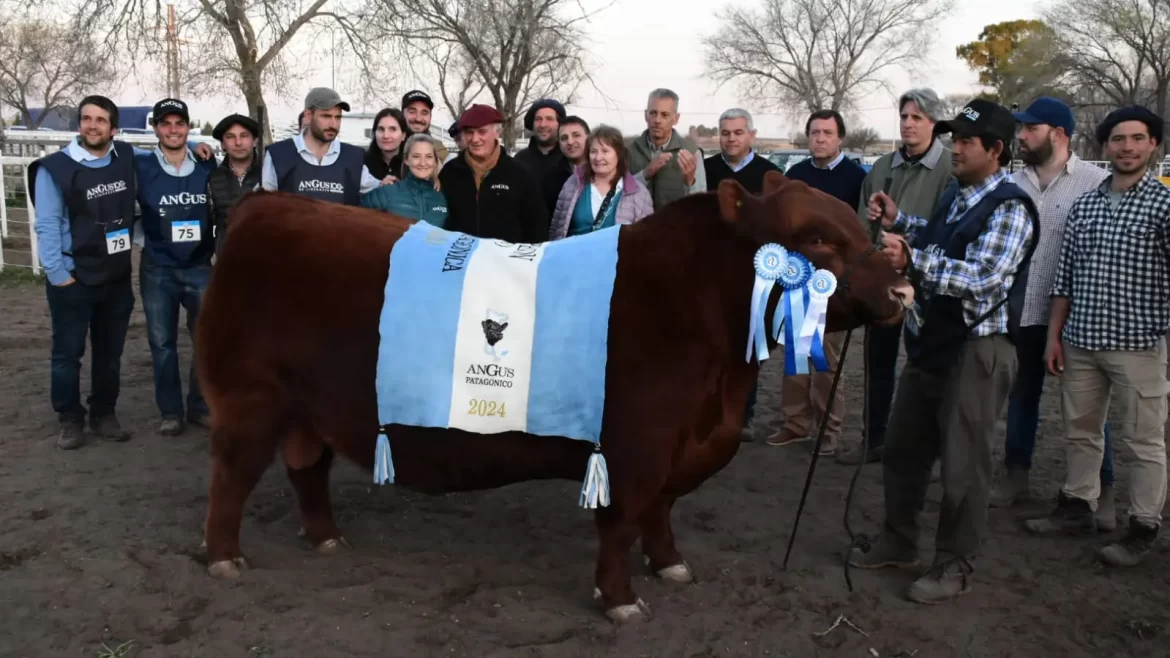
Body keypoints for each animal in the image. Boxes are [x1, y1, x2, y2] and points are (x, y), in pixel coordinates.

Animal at [194, 168, 912, 618]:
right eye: (814, 239)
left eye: (858, 226)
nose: (903, 289)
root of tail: (270, 204)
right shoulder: (635, 448)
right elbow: (622, 523)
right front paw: (621, 600)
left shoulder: (678, 448)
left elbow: (660, 514)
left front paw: (671, 565)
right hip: (248, 402)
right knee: (230, 480)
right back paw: (225, 559)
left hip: (306, 410)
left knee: (306, 470)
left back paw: (325, 539)